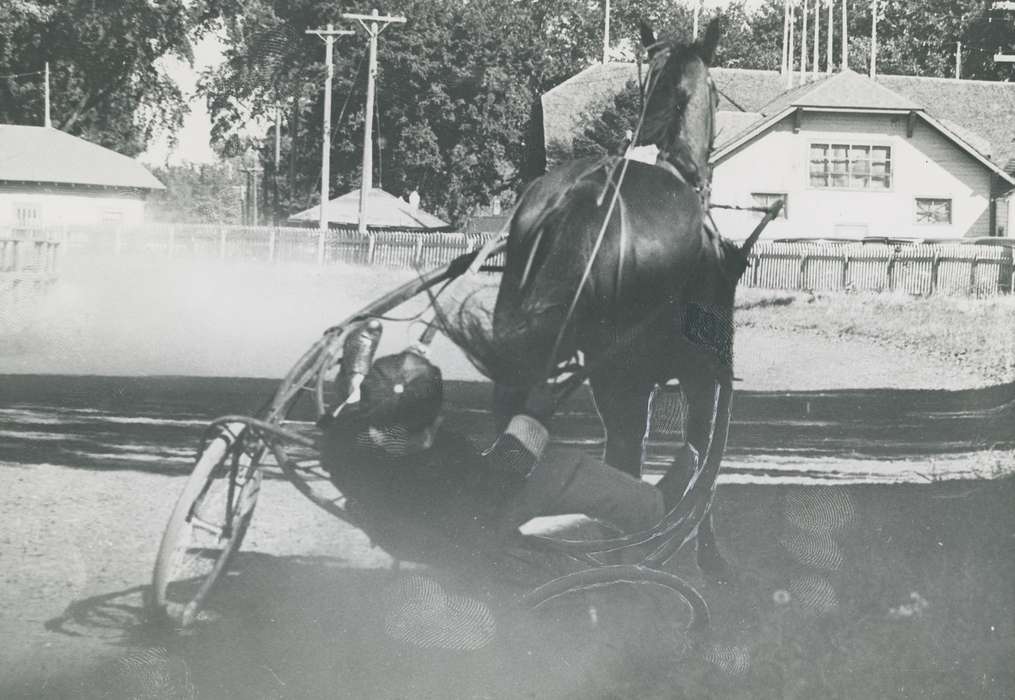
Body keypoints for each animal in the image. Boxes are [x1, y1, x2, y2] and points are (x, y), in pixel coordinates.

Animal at [487, 20, 763, 576]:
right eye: (717, 93)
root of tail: (573, 200)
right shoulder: (702, 374)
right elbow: (702, 462)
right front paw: (708, 558)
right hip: (628, 376)